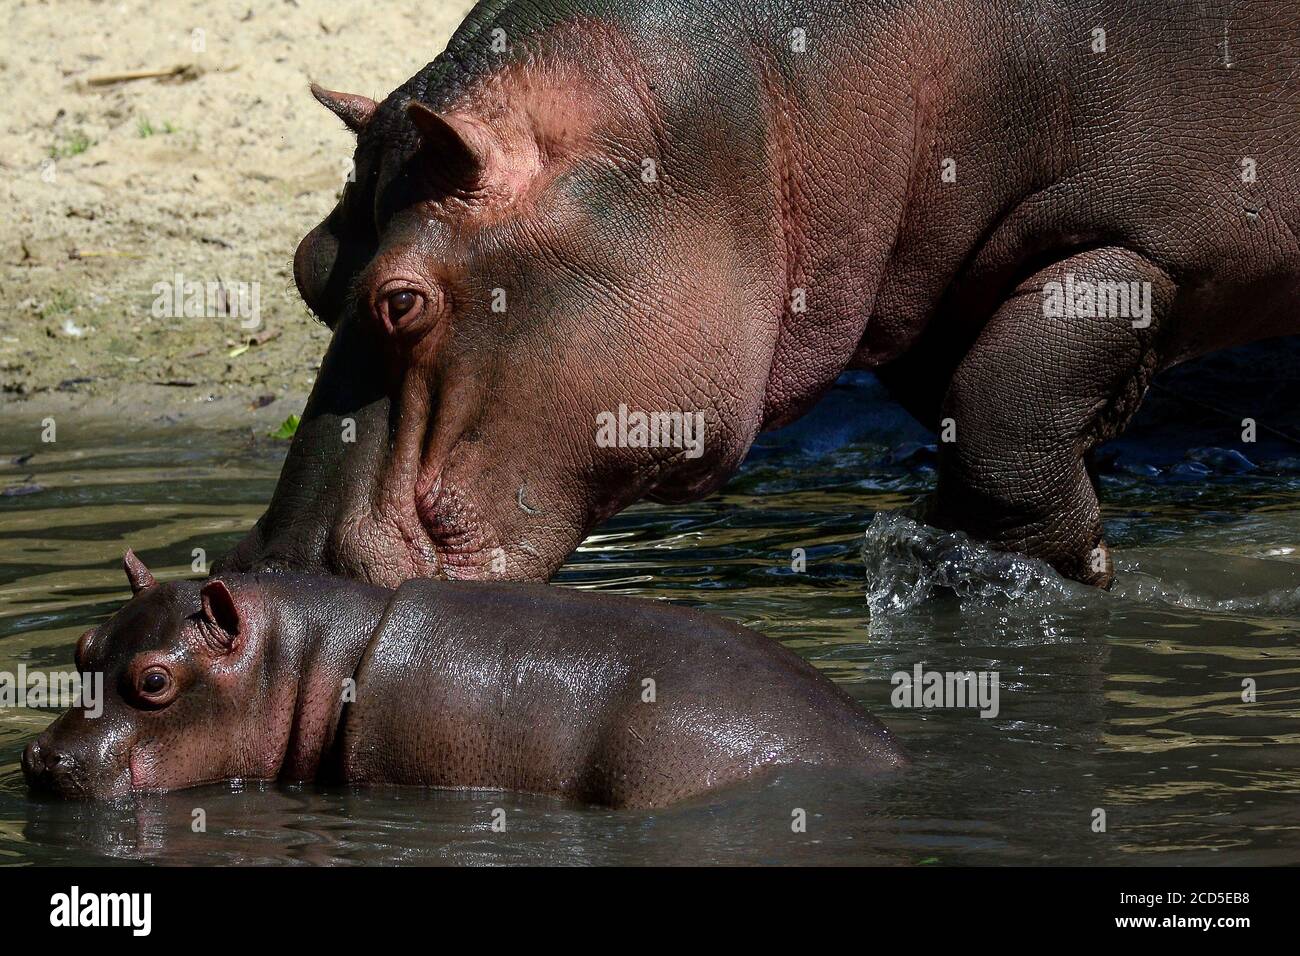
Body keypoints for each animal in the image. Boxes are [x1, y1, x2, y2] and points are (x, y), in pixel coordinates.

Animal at [219, 0, 1300, 588]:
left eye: (401, 301)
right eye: (308, 265)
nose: (276, 567)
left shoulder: (1140, 241)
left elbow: (1003, 413)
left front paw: (1041, 588)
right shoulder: (921, 298)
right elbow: (971, 418)